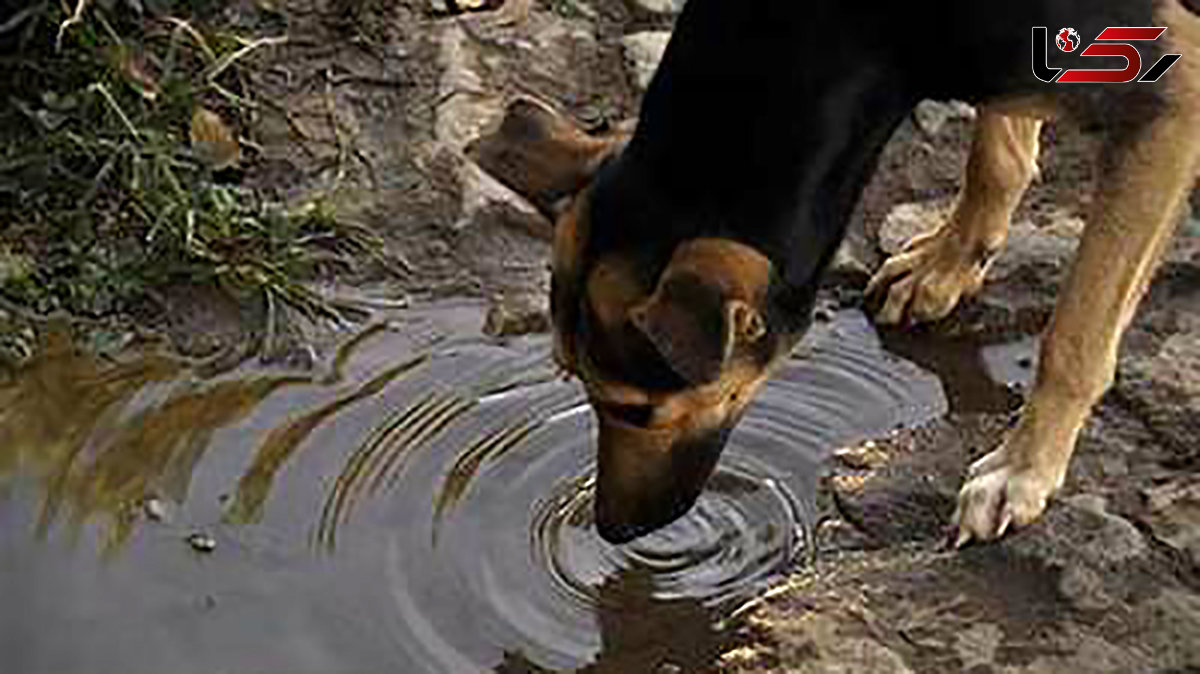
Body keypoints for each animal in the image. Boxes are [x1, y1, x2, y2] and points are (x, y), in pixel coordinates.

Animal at [470, 0, 1200, 542]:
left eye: (640, 411)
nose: (611, 531)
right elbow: (996, 155)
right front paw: (947, 264)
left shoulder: (1174, 99)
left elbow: (1074, 335)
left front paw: (1022, 468)